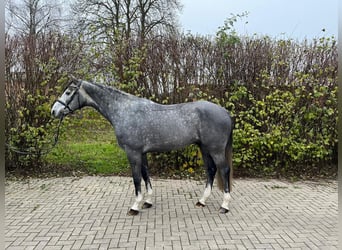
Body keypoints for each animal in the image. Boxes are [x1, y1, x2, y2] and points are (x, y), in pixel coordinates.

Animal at [50, 78, 234, 215]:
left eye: (68, 92)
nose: (54, 111)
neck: (124, 111)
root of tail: (225, 112)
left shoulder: (133, 153)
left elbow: (137, 178)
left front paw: (135, 206)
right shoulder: (142, 153)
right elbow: (146, 175)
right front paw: (147, 201)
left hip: (215, 149)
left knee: (224, 170)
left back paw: (224, 206)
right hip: (204, 148)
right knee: (211, 170)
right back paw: (202, 201)